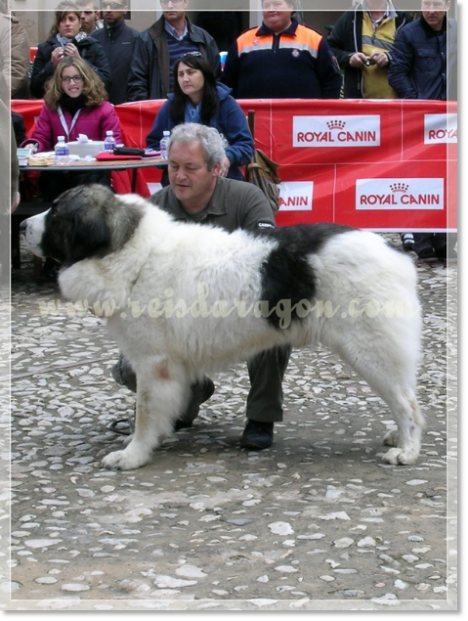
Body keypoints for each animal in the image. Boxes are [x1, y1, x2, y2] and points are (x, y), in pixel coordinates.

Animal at [22, 184, 424, 470]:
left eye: (56, 212)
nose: (23, 224)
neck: (130, 252)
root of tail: (393, 252)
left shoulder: (153, 363)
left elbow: (145, 412)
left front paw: (133, 454)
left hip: (370, 350)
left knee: (407, 402)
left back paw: (407, 450)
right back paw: (398, 438)